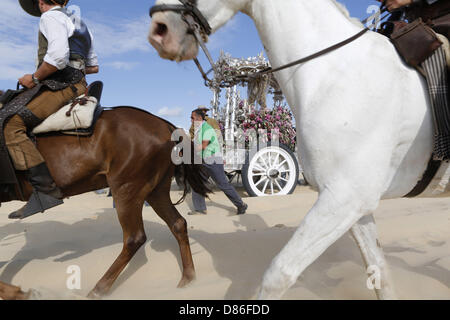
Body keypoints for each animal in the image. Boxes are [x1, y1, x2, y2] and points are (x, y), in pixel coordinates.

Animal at [0, 106, 208, 298]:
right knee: (177, 224)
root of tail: (165, 126)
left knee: (134, 238)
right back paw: (187, 280)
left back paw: (97, 290)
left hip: (126, 188)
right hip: (156, 190)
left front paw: (19, 293)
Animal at [149, 0, 448, 300]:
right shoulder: (354, 204)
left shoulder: (345, 197)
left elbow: (278, 274)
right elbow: (379, 272)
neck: (337, 72)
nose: (159, 29)